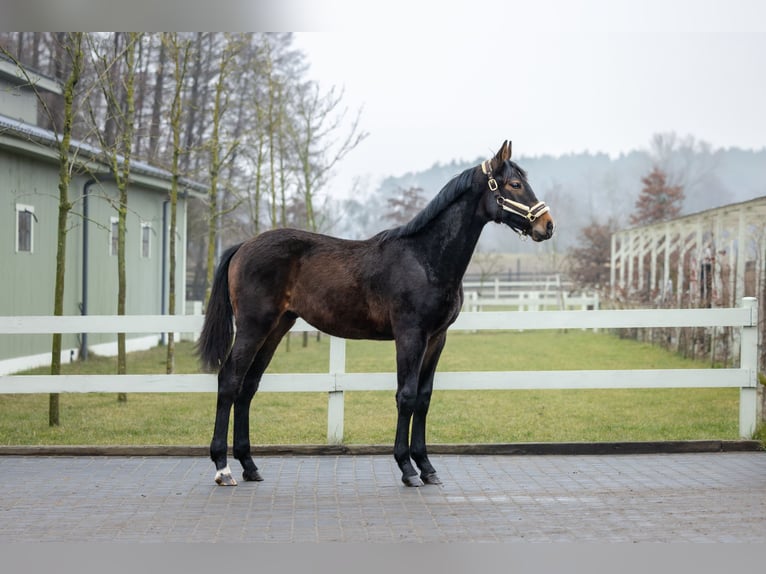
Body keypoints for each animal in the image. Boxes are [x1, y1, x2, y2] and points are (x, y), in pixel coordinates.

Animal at [197, 140, 555, 487]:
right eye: (515, 184)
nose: (547, 225)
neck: (424, 257)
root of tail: (243, 246)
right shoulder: (410, 336)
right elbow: (406, 396)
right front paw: (407, 468)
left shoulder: (436, 339)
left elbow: (424, 398)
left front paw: (427, 468)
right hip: (253, 327)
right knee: (229, 380)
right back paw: (223, 468)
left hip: (275, 329)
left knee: (248, 387)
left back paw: (249, 466)